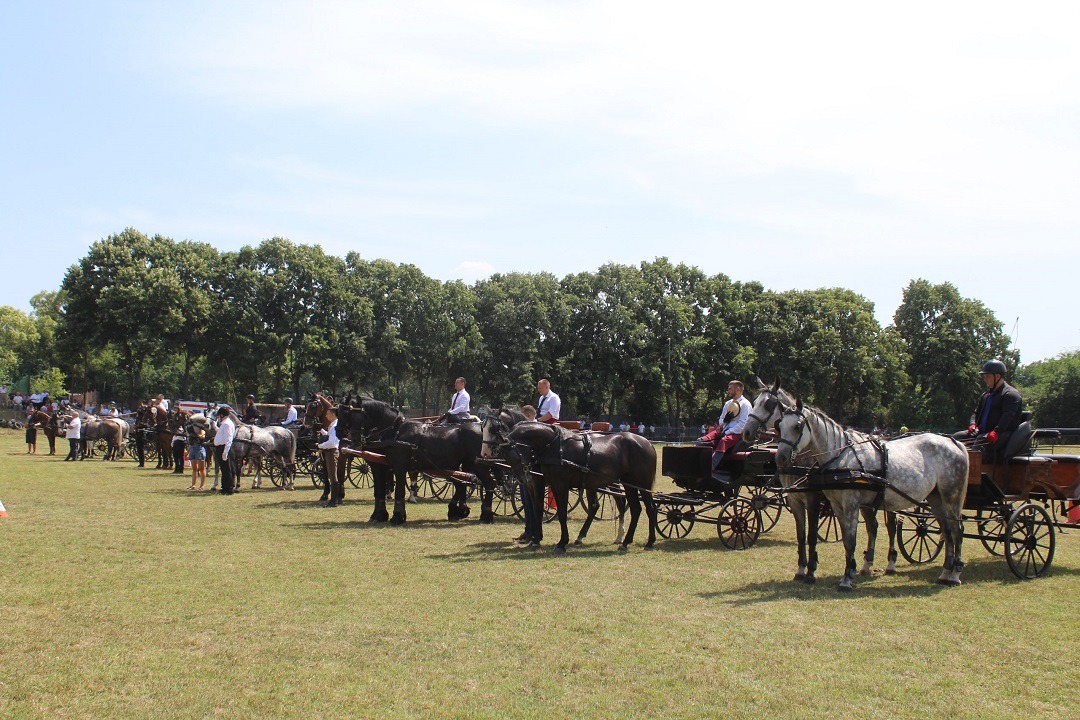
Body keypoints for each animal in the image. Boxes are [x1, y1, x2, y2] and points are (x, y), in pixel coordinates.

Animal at [334, 397, 494, 526]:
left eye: (349, 414)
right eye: (338, 413)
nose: (339, 433)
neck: (395, 432)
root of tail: (480, 427)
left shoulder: (398, 467)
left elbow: (399, 491)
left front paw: (397, 517)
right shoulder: (379, 466)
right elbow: (378, 491)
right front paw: (378, 515)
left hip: (477, 466)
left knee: (488, 483)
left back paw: (486, 515)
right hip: (460, 466)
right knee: (463, 484)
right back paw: (459, 511)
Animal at [483, 418, 656, 557]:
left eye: (513, 454)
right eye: (505, 457)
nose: (523, 478)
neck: (554, 447)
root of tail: (647, 443)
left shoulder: (559, 485)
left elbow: (560, 513)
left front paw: (560, 543)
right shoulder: (549, 484)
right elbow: (538, 509)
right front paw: (536, 539)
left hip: (640, 484)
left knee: (649, 508)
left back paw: (648, 542)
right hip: (627, 484)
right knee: (634, 509)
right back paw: (624, 541)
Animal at [777, 399, 972, 591]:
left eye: (797, 426)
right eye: (779, 425)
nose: (781, 458)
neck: (841, 457)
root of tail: (954, 442)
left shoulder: (848, 504)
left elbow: (850, 540)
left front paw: (845, 579)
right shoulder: (836, 505)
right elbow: (844, 540)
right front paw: (849, 571)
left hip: (951, 498)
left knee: (957, 530)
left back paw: (955, 575)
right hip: (935, 498)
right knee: (946, 531)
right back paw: (945, 573)